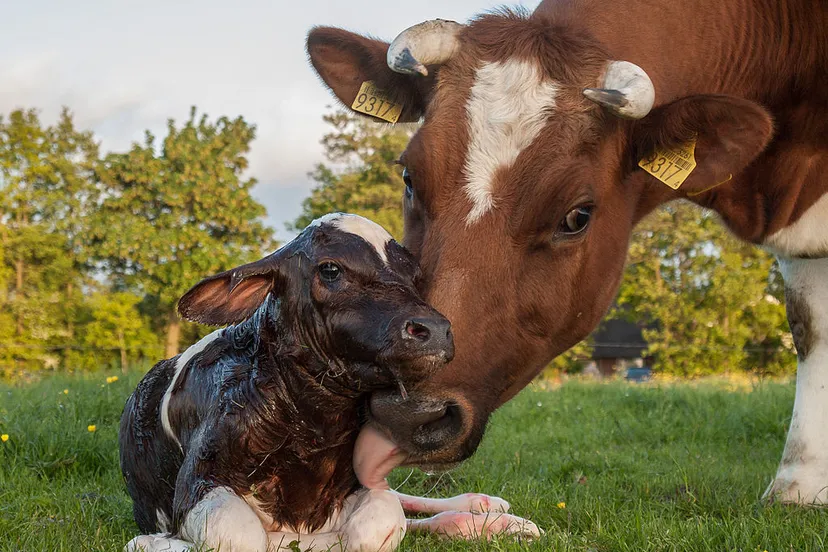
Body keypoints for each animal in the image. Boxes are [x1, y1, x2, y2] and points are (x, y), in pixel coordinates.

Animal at [119, 213, 539, 552]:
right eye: (331, 269)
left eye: (414, 277)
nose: (435, 329)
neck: (312, 425)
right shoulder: (198, 481)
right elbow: (241, 537)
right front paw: (151, 541)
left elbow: (380, 523)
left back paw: (489, 511)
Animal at [307, 0, 828, 504]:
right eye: (410, 178)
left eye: (576, 216)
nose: (409, 411)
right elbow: (807, 325)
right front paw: (800, 484)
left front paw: (799, 485)